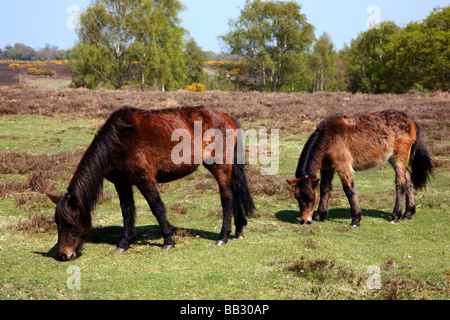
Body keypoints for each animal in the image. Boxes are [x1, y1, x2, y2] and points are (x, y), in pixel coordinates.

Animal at [48, 105, 255, 260]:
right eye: (57, 222)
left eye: (70, 223)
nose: (63, 254)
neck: (116, 140)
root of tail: (227, 117)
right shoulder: (122, 183)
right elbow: (127, 212)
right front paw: (125, 243)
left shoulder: (144, 180)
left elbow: (156, 207)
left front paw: (168, 241)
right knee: (235, 195)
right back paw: (238, 230)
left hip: (219, 167)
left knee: (227, 198)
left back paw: (222, 237)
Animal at [288, 110, 432, 228]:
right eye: (296, 196)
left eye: (312, 197)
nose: (305, 220)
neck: (329, 137)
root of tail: (411, 120)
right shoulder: (327, 168)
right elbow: (325, 189)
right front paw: (320, 215)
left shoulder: (343, 166)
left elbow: (349, 190)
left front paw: (356, 219)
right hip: (394, 159)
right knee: (408, 178)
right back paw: (408, 213)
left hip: (399, 158)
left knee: (400, 183)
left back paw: (395, 216)